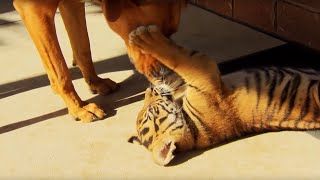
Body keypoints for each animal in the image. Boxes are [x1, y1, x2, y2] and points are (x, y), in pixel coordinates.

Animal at [13, 0, 188, 122]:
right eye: (147, 37)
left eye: (170, 34)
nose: (168, 77)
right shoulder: (35, 10)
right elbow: (60, 72)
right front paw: (79, 107)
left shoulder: (71, 4)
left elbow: (83, 49)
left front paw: (95, 82)